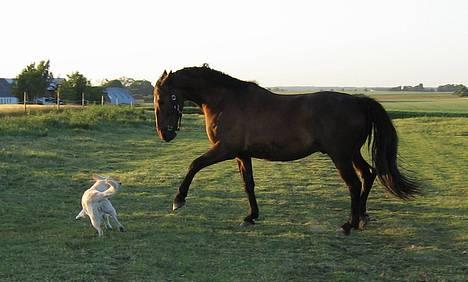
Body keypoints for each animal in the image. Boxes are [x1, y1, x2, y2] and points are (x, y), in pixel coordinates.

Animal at [154, 65, 420, 234]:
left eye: (164, 100)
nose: (165, 134)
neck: (226, 101)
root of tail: (358, 101)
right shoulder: (242, 154)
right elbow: (248, 185)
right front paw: (251, 216)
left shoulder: (225, 149)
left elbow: (195, 164)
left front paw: (179, 199)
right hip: (351, 153)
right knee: (368, 174)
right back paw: (361, 219)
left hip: (341, 155)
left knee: (354, 183)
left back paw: (348, 225)